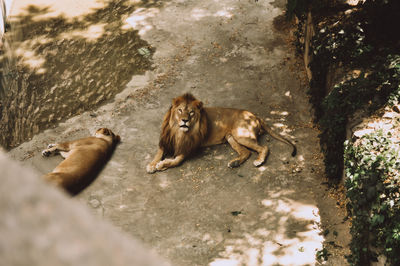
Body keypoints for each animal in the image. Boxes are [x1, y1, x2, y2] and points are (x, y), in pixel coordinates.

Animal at [146, 92, 294, 174]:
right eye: (180, 110)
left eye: (191, 112)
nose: (185, 120)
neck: (179, 131)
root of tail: (254, 116)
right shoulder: (166, 141)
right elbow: (158, 153)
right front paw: (152, 165)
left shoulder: (189, 148)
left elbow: (176, 161)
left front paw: (162, 165)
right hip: (231, 137)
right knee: (246, 152)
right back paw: (235, 163)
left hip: (241, 135)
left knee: (264, 147)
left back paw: (259, 161)